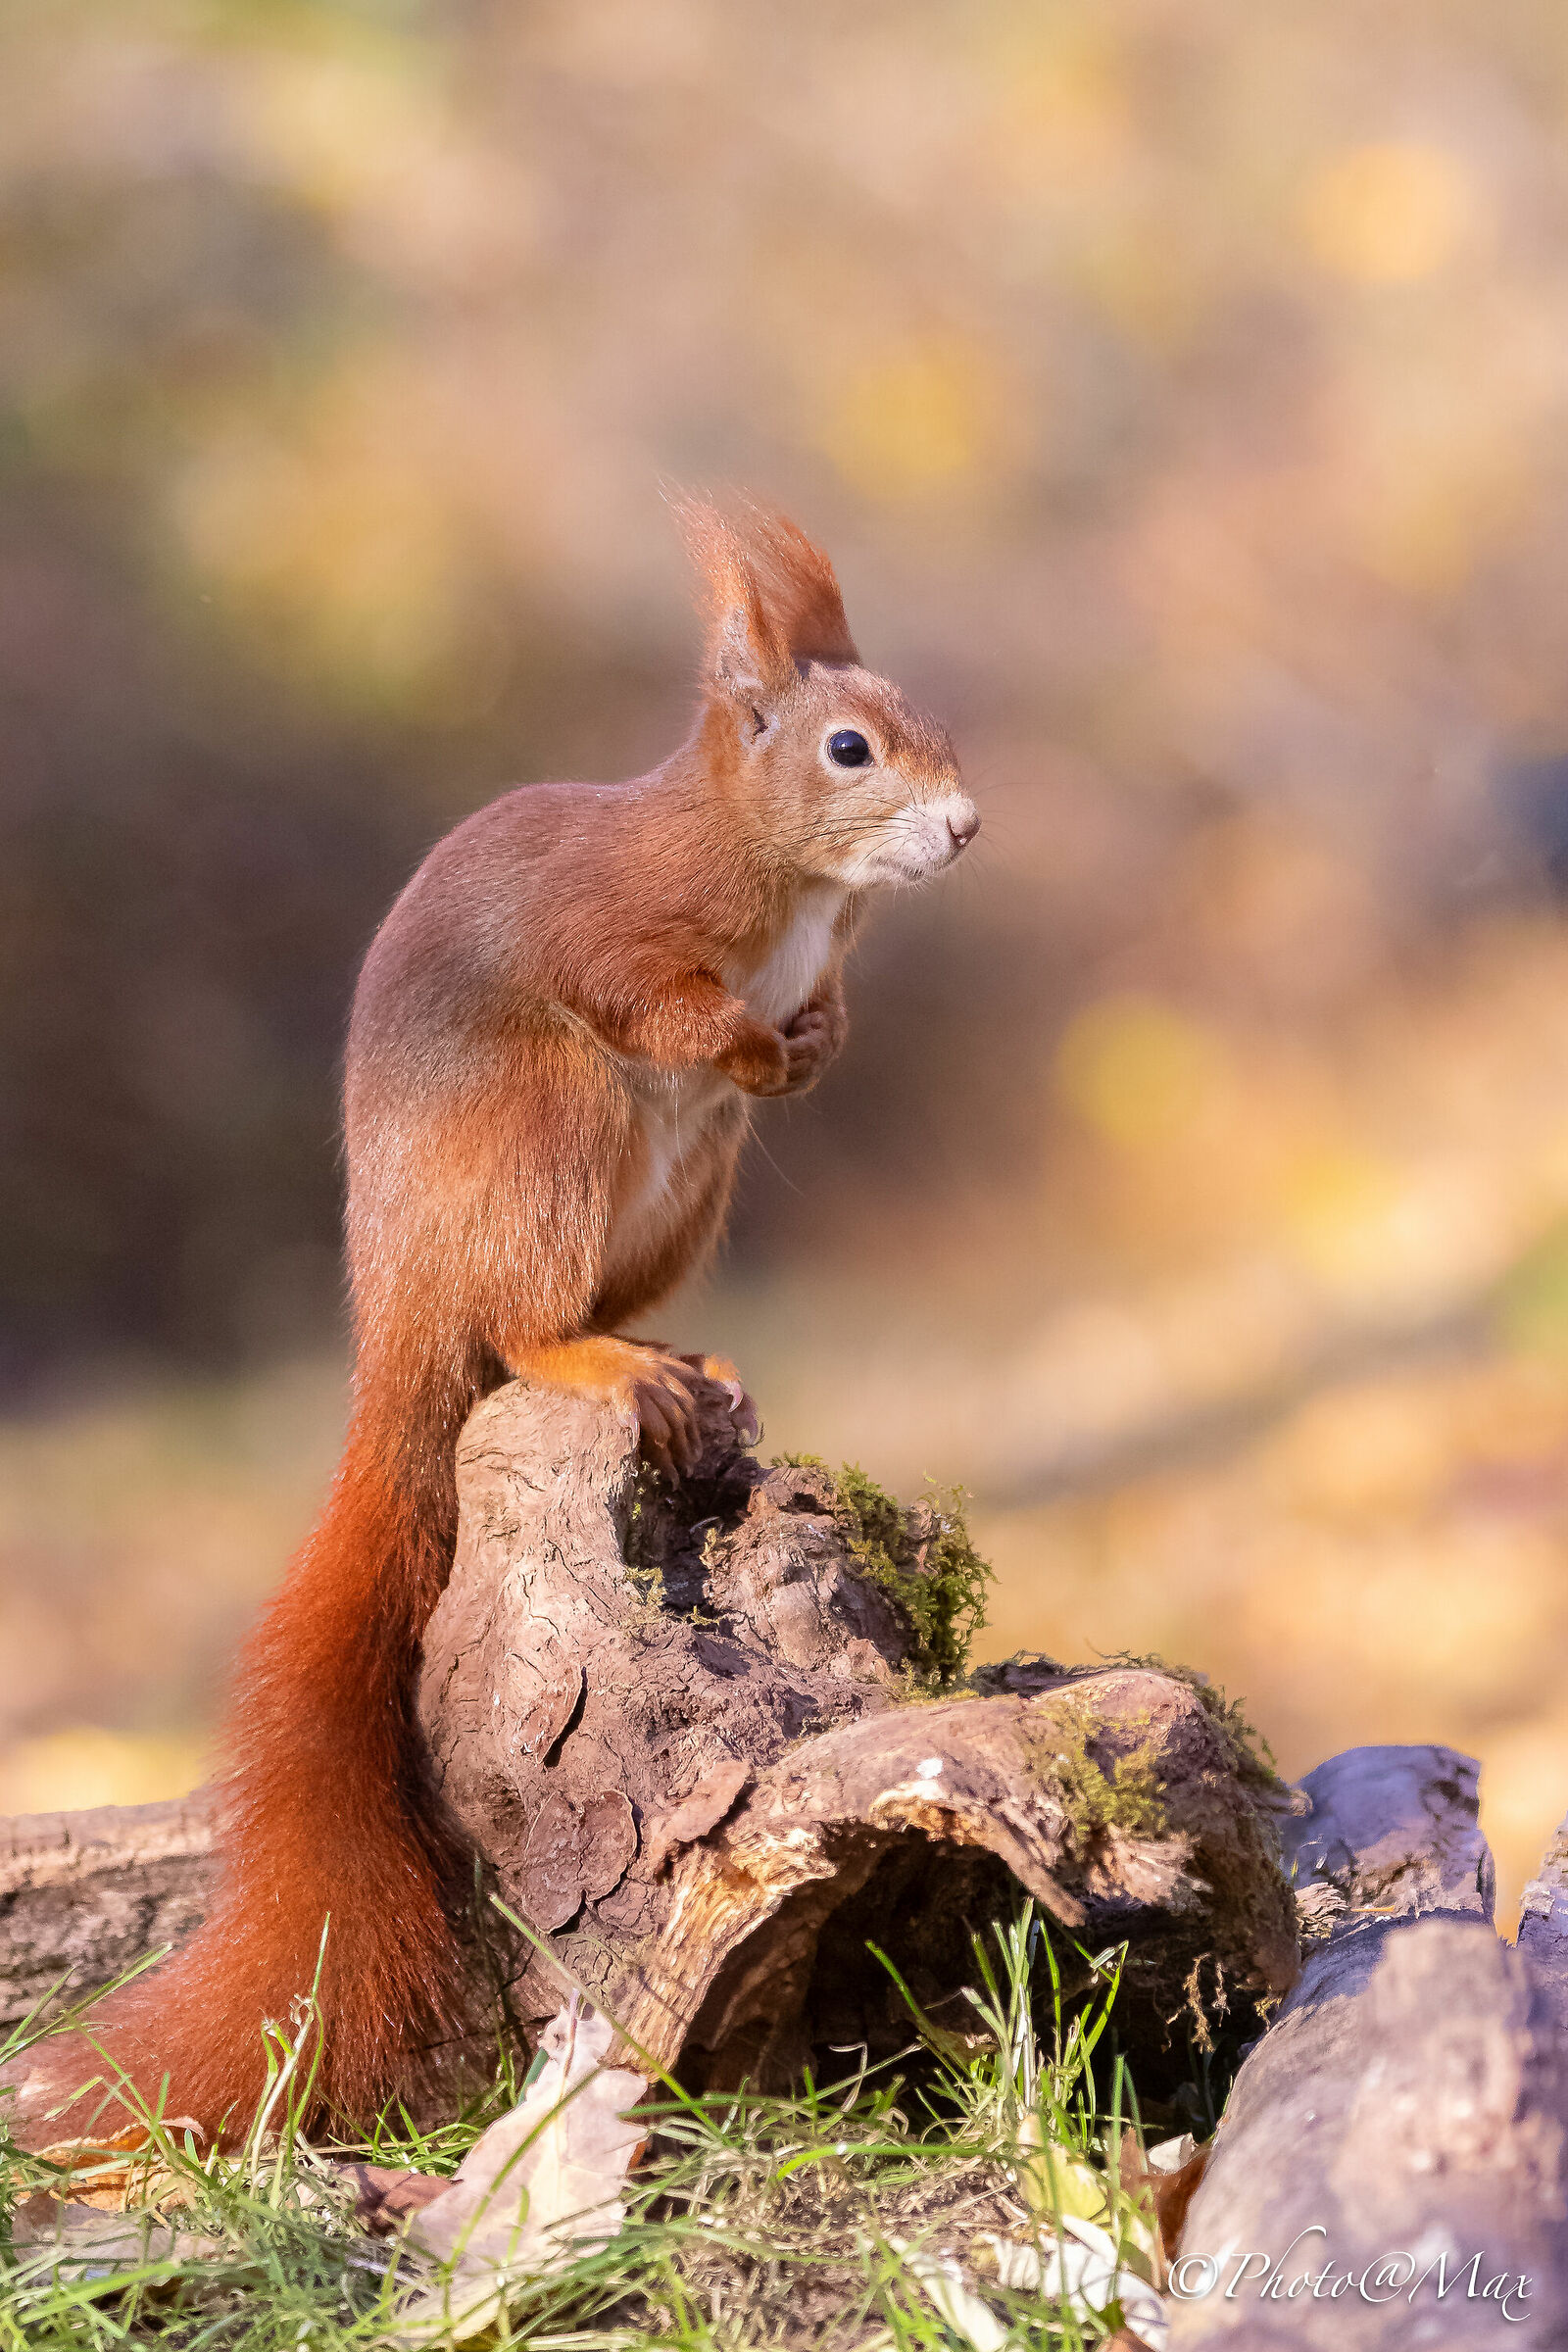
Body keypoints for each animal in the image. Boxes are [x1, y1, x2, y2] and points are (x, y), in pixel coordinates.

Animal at [18, 501, 979, 2143]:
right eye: (851, 749)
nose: (968, 826)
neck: (789, 886)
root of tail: (398, 1322)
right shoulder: (615, 928)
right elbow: (652, 996)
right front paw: (746, 1034)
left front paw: (814, 1040)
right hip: (551, 1119)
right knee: (525, 1325)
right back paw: (600, 1356)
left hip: (687, 1188)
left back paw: (689, 1354)